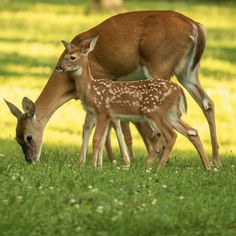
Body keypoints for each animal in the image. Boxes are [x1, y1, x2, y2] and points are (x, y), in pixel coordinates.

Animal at [4, 10, 221, 167]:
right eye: (16, 139)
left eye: (28, 137)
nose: (30, 161)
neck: (69, 86)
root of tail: (196, 26)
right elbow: (99, 126)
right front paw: (99, 161)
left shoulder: (103, 83)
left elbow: (103, 125)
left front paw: (109, 161)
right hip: (188, 71)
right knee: (207, 103)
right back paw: (214, 162)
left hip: (160, 65)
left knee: (164, 123)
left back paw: (156, 160)